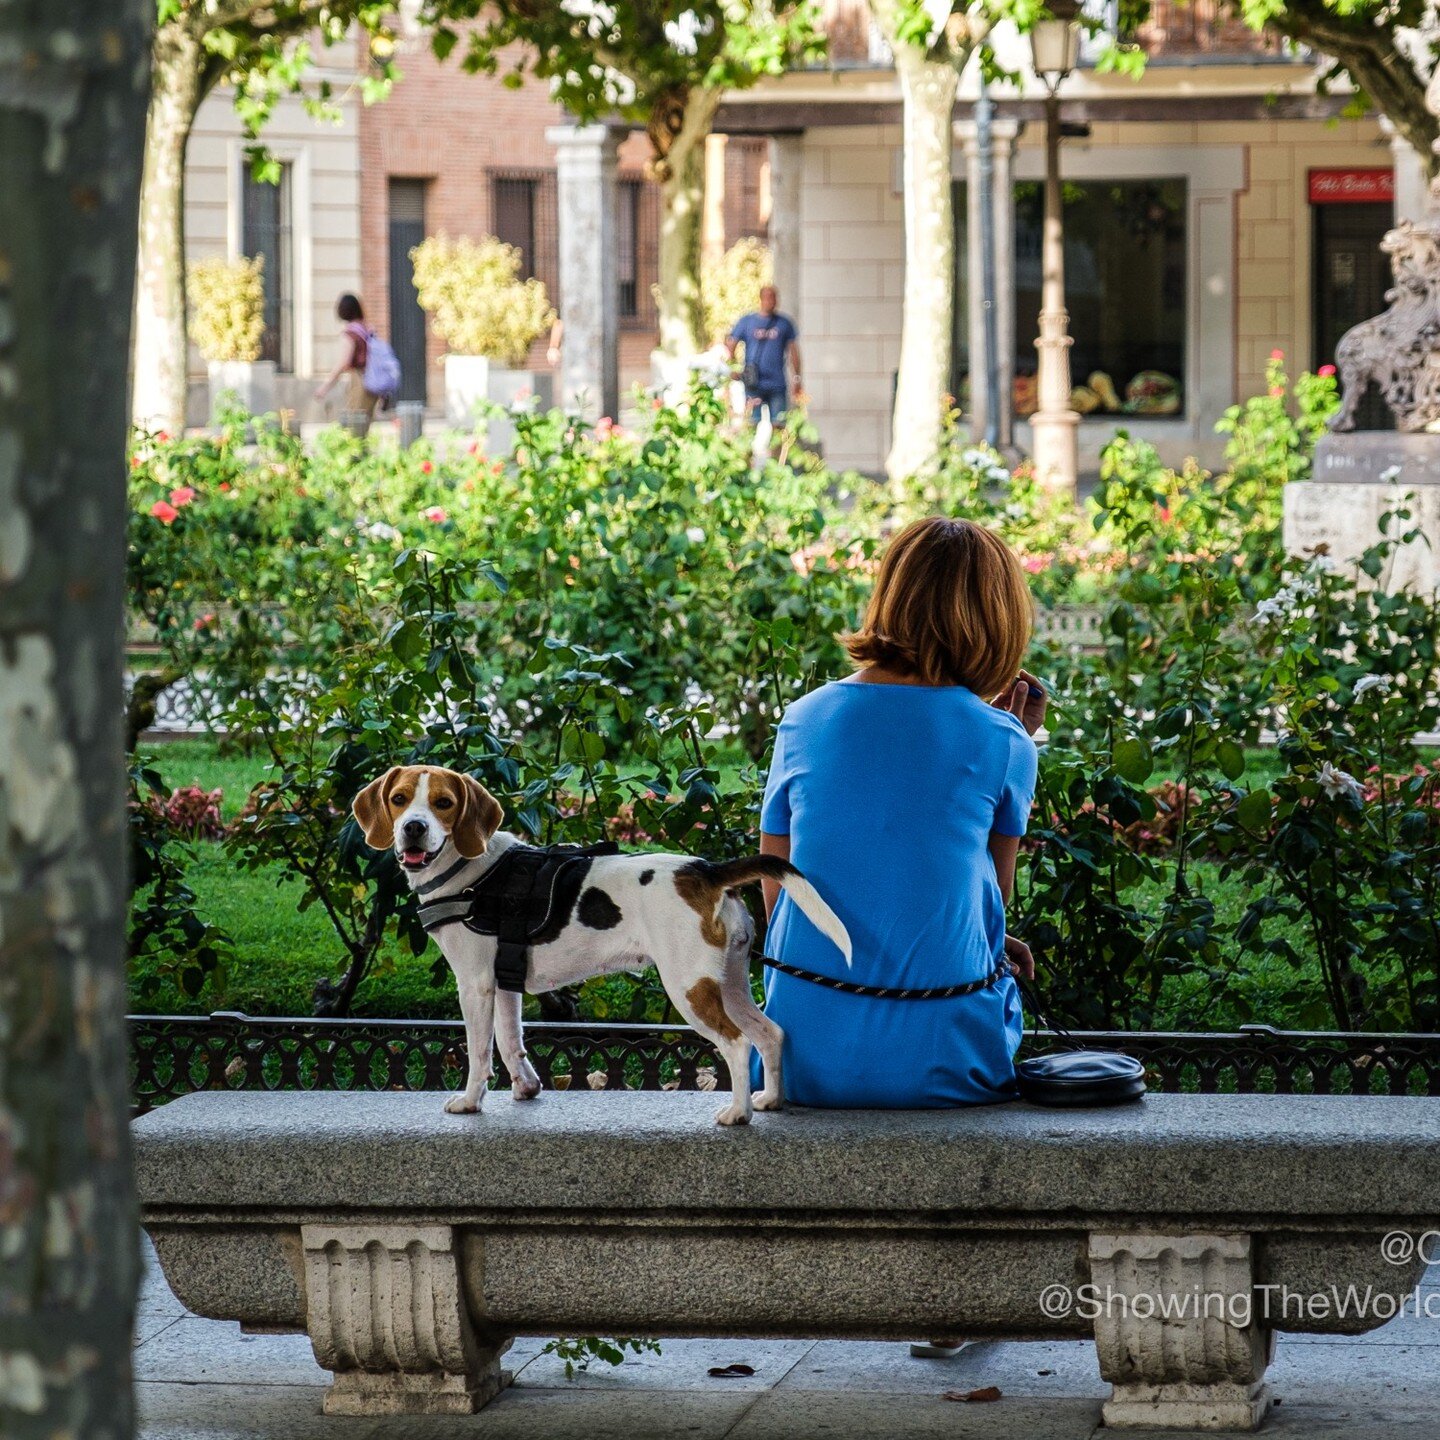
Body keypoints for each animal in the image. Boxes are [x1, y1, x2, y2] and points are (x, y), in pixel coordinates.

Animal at [349, 766, 846, 1123]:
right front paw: (526, 1088)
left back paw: (738, 1113)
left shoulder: (474, 984)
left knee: (738, 1042)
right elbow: (510, 1042)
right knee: (770, 1033)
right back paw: (769, 1101)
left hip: (689, 987)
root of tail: (705, 870)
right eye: (399, 799)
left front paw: (471, 1101)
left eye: (444, 804)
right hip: (728, 982)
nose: (414, 828)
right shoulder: (504, 984)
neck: (470, 871)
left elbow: (479, 1052)